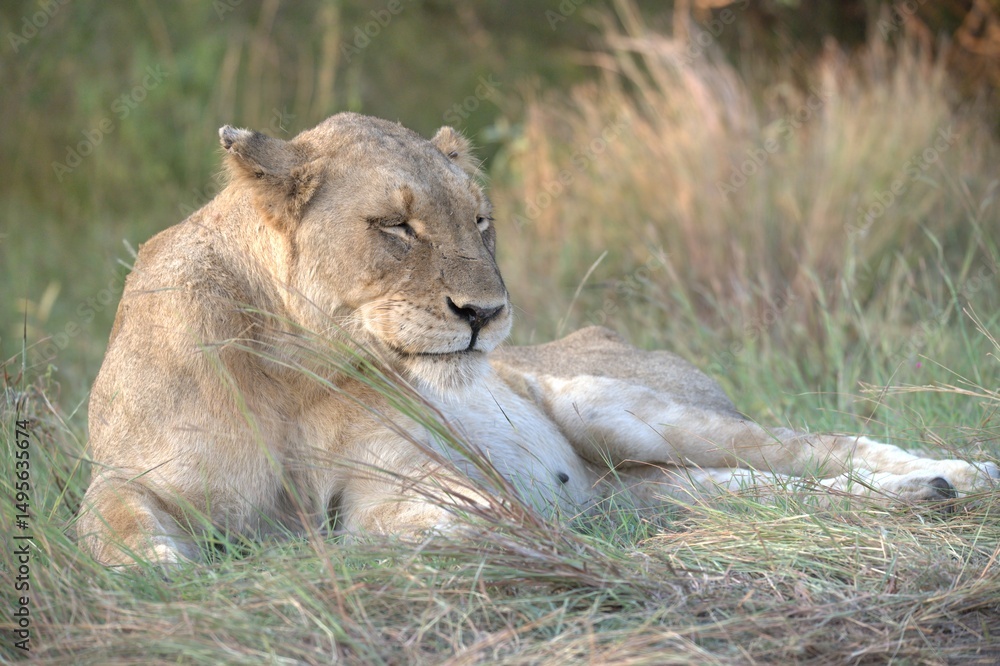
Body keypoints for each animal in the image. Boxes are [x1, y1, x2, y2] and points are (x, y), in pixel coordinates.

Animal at [77, 112, 998, 566]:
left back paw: (957, 476)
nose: (485, 313)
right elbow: (110, 528)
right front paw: (175, 574)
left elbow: (439, 524)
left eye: (480, 220)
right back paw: (916, 498)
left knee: (820, 448)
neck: (287, 360)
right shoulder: (128, 474)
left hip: (615, 402)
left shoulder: (419, 483)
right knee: (763, 491)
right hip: (655, 483)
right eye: (396, 226)